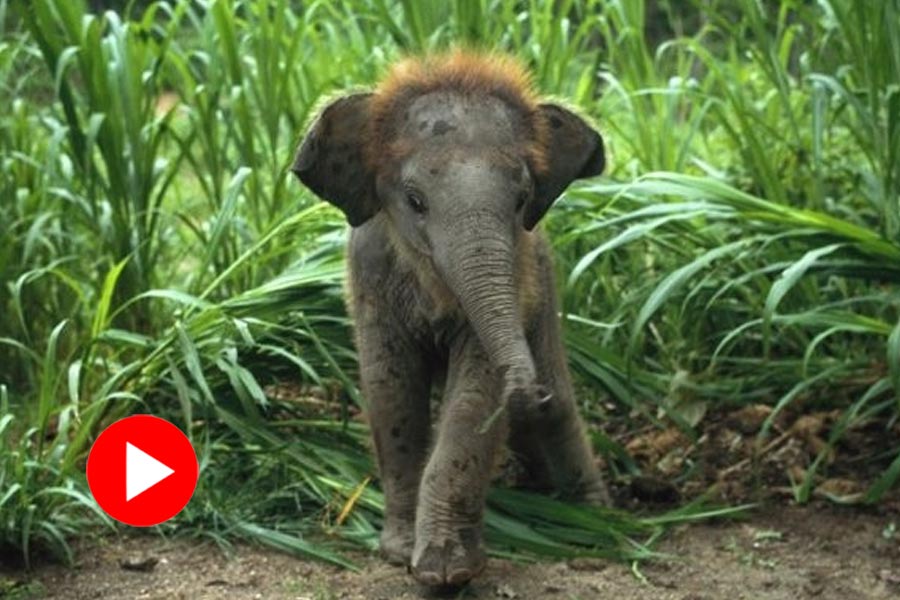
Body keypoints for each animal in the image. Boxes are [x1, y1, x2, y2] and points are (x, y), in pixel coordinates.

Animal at [291, 50, 608, 587]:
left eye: (521, 200)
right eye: (415, 201)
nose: (529, 390)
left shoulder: (518, 276)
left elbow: (475, 398)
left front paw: (446, 571)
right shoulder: (369, 275)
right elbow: (391, 389)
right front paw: (401, 554)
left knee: (558, 412)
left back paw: (592, 521)